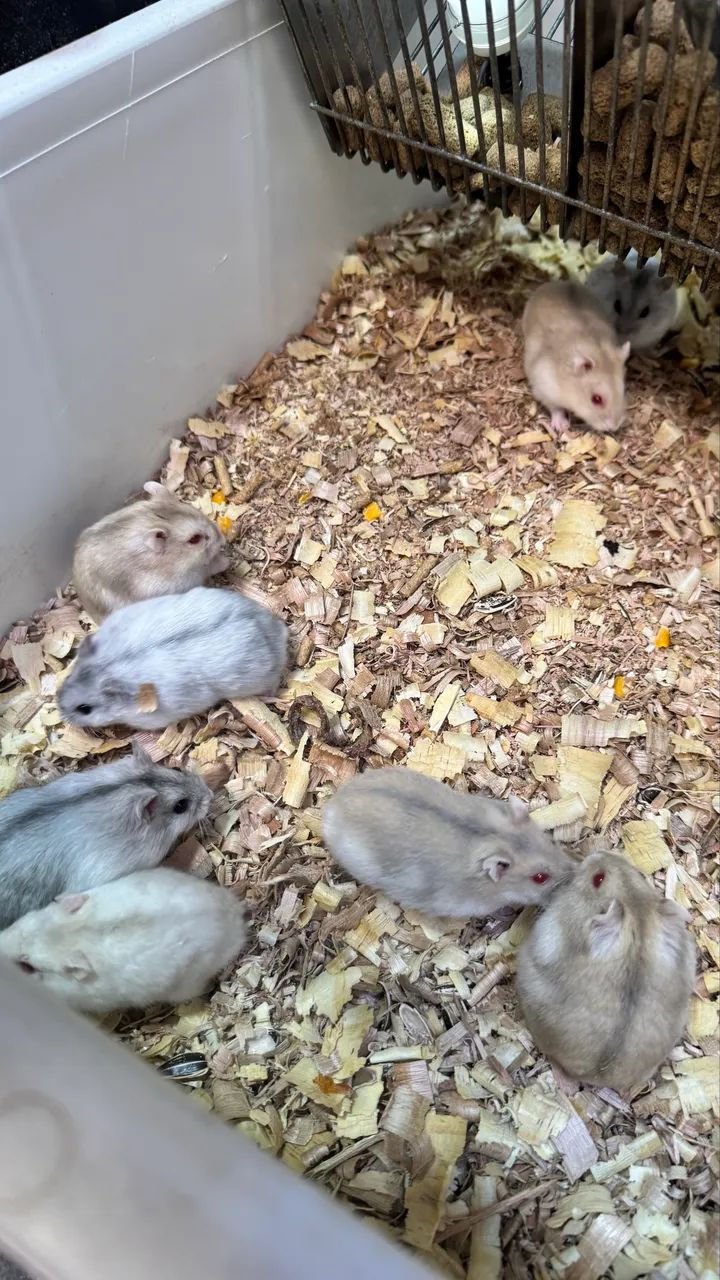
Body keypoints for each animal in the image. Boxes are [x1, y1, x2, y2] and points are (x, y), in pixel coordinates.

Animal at [522, 281, 630, 435]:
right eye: (596, 399)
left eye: (624, 391)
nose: (614, 427)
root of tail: (562, 282)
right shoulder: (544, 386)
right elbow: (555, 408)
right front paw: (562, 426)